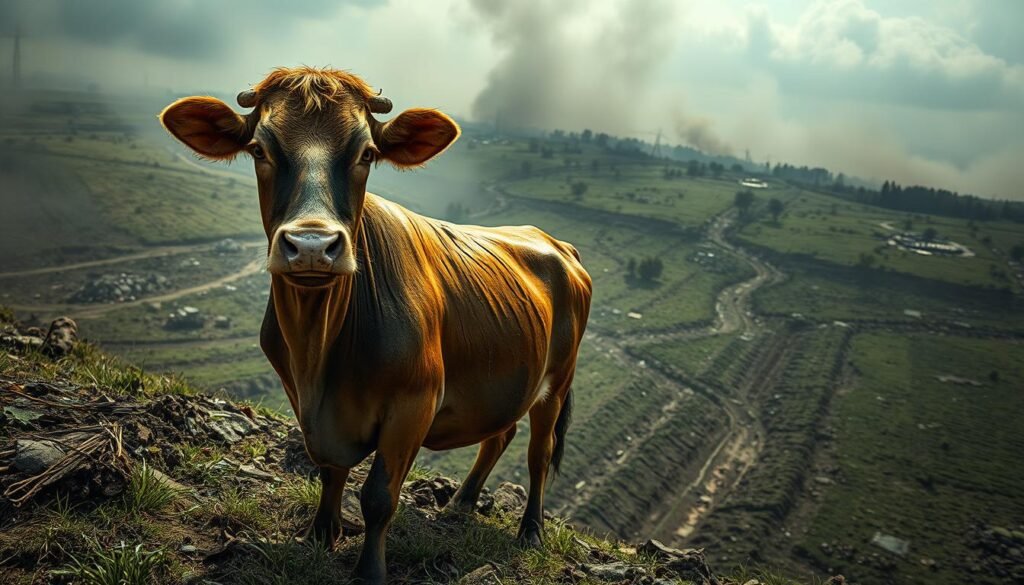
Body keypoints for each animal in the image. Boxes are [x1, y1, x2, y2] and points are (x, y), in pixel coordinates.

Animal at [160, 67, 591, 584]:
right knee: (499, 433)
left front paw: (368, 570)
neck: (319, 352)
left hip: (557, 382)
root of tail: (551, 241)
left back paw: (530, 530)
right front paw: (321, 534)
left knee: (538, 453)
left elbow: (379, 497)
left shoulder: (413, 407)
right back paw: (461, 503)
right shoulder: (304, 402)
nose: (311, 246)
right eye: (260, 150)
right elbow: (329, 470)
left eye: (366, 153)